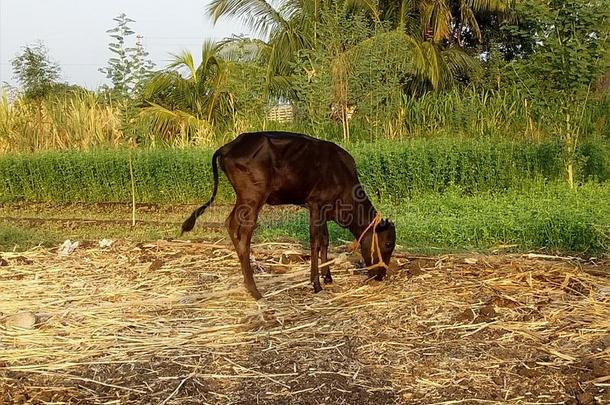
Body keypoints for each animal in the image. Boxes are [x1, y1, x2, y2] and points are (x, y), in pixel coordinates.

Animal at [180, 131, 394, 298]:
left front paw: (328, 276)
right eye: (388, 244)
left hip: (244, 199)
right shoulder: (315, 205)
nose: (381, 275)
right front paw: (316, 284)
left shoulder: (323, 209)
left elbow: (325, 240)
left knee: (229, 223)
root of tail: (230, 145)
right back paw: (254, 290)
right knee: (243, 232)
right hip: (253, 197)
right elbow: (315, 241)